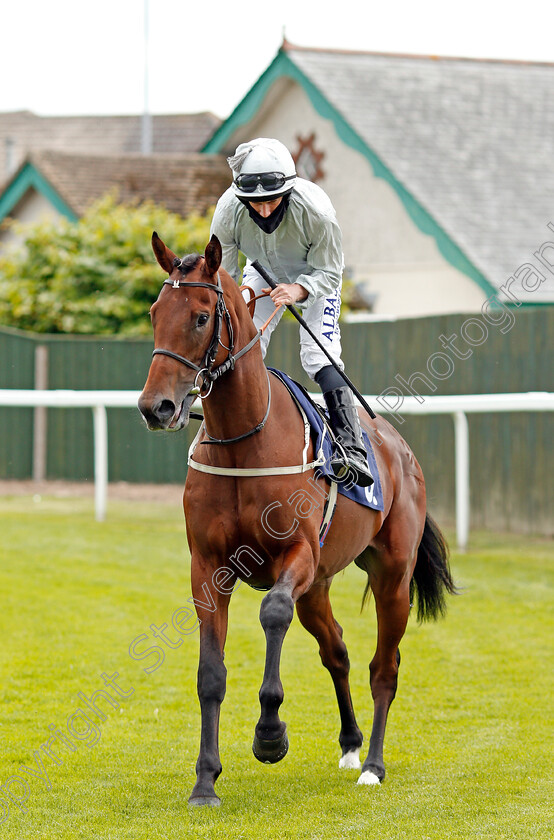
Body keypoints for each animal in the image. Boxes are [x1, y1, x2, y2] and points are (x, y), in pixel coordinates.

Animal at [138, 231, 452, 808]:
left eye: (200, 317)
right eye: (153, 312)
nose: (157, 407)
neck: (245, 443)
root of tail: (400, 448)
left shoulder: (297, 555)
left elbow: (273, 614)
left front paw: (269, 735)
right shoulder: (209, 568)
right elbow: (210, 673)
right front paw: (205, 780)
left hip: (391, 576)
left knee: (384, 667)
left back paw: (372, 764)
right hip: (321, 585)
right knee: (338, 650)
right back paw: (350, 744)